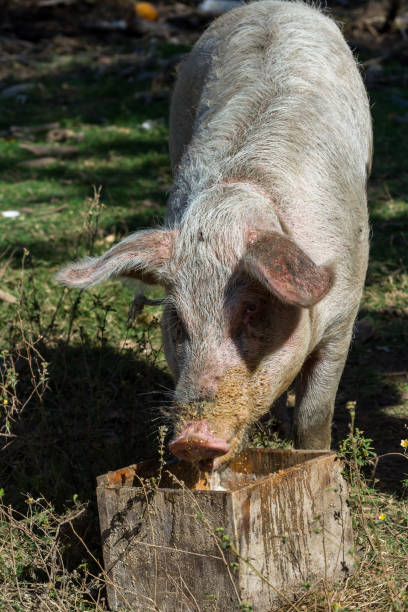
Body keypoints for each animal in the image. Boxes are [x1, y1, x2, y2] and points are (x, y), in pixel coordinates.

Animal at [57, 0, 372, 470]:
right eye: (177, 318)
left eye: (251, 310)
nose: (193, 439)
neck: (238, 196)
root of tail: (275, 5)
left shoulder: (343, 314)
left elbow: (315, 412)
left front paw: (321, 458)